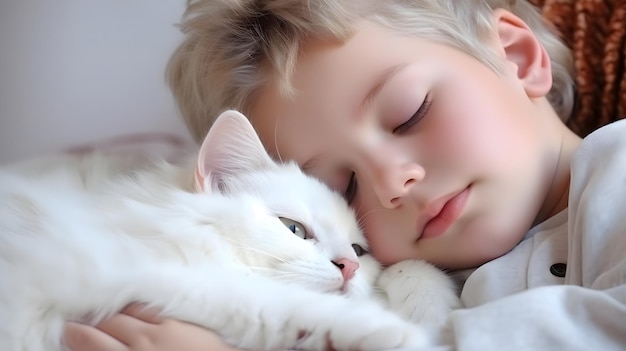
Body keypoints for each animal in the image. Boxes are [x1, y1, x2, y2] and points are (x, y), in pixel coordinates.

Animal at [0, 110, 458, 351]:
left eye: (359, 251)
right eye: (294, 229)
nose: (348, 266)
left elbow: (415, 269)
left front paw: (430, 309)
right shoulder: (124, 271)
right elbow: (273, 302)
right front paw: (398, 334)